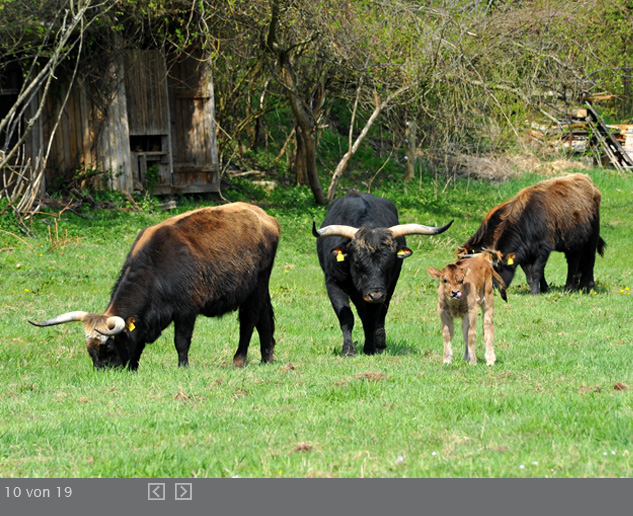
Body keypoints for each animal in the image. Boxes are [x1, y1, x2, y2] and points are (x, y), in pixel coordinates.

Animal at [29, 203, 282, 370]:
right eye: (90, 350)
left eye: (108, 348)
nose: (103, 371)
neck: (156, 267)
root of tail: (265, 217)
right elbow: (138, 341)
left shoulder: (186, 311)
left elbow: (181, 341)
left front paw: (182, 366)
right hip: (260, 289)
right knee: (264, 319)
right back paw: (266, 357)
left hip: (255, 289)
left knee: (248, 321)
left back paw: (239, 360)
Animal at [312, 191, 450, 356]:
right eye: (357, 262)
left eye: (389, 263)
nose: (375, 295)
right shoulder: (333, 283)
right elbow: (346, 318)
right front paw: (348, 350)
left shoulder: (384, 289)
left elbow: (372, 318)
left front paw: (370, 348)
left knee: (380, 315)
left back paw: (380, 344)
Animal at [460, 173, 604, 294]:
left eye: (496, 269)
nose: (490, 288)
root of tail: (589, 183)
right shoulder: (524, 254)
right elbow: (529, 275)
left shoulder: (543, 250)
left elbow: (536, 272)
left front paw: (536, 292)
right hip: (573, 243)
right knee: (574, 262)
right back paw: (571, 287)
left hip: (591, 238)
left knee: (590, 260)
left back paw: (587, 287)